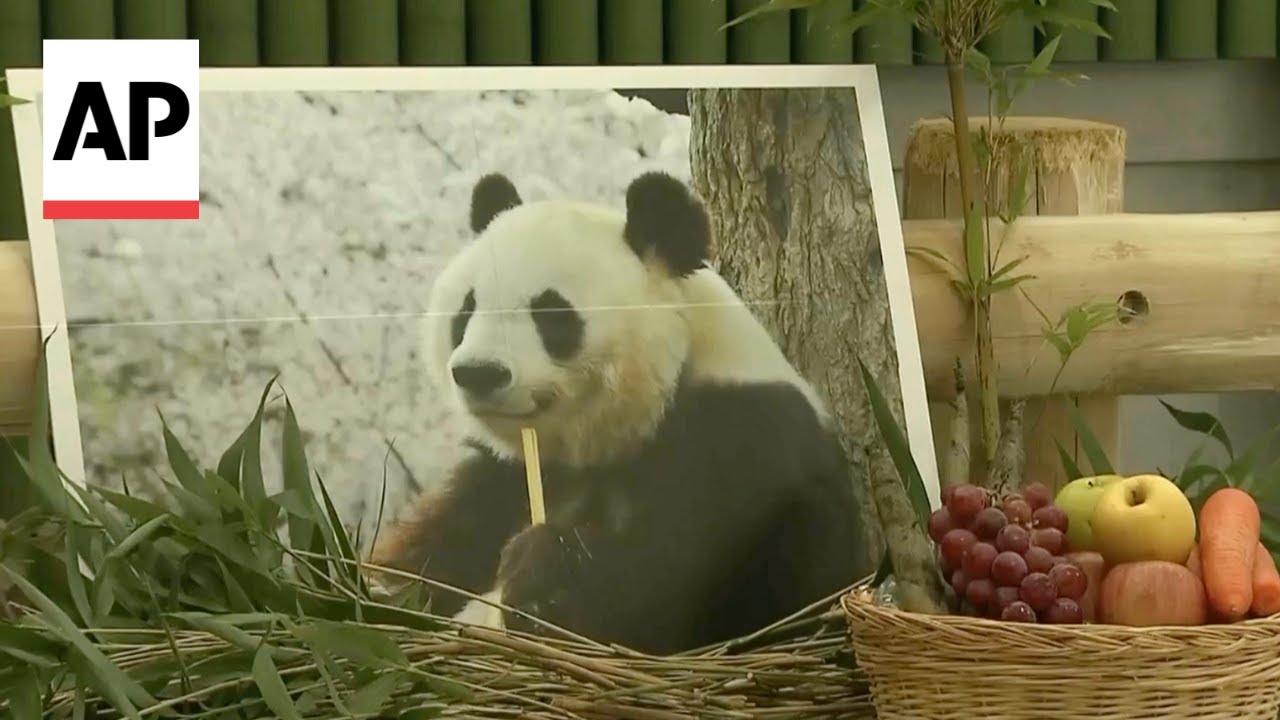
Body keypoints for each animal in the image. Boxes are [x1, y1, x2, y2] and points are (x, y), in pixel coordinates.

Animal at [369, 170, 865, 654]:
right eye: (467, 308)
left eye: (551, 311)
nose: (479, 373)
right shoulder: (502, 478)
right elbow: (434, 546)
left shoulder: (742, 435)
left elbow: (663, 579)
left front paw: (541, 575)